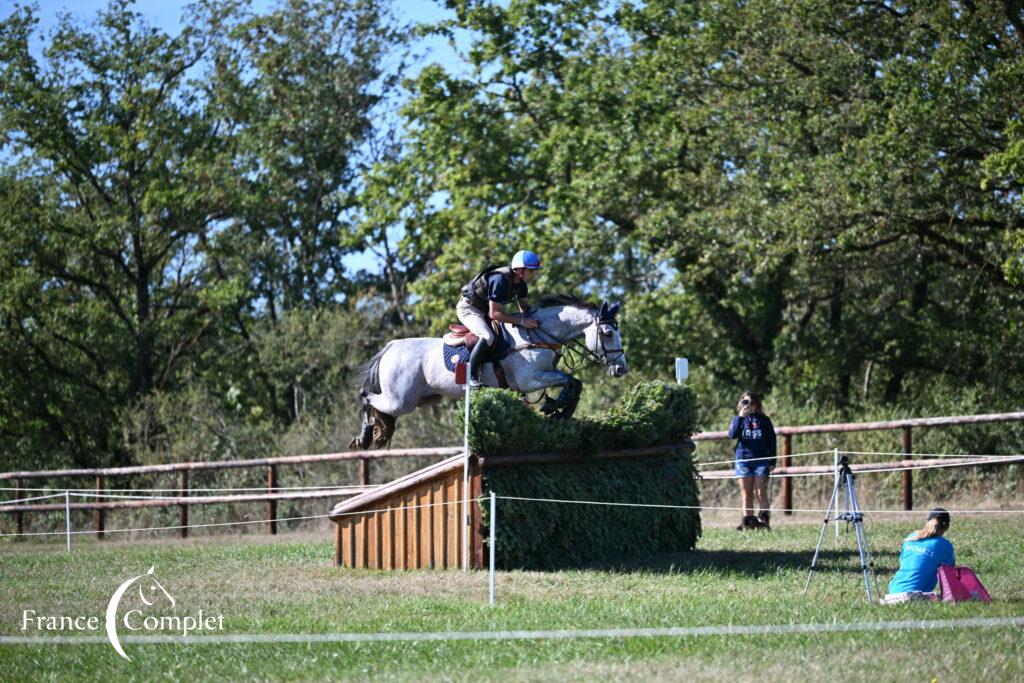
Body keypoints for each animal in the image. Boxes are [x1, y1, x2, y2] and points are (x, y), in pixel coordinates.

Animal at [348, 294, 626, 448]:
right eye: (607, 333)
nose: (621, 369)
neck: (538, 335)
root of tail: (391, 347)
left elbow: (574, 383)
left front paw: (557, 408)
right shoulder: (530, 380)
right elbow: (571, 381)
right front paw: (557, 407)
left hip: (421, 399)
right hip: (400, 401)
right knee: (366, 396)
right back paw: (364, 435)